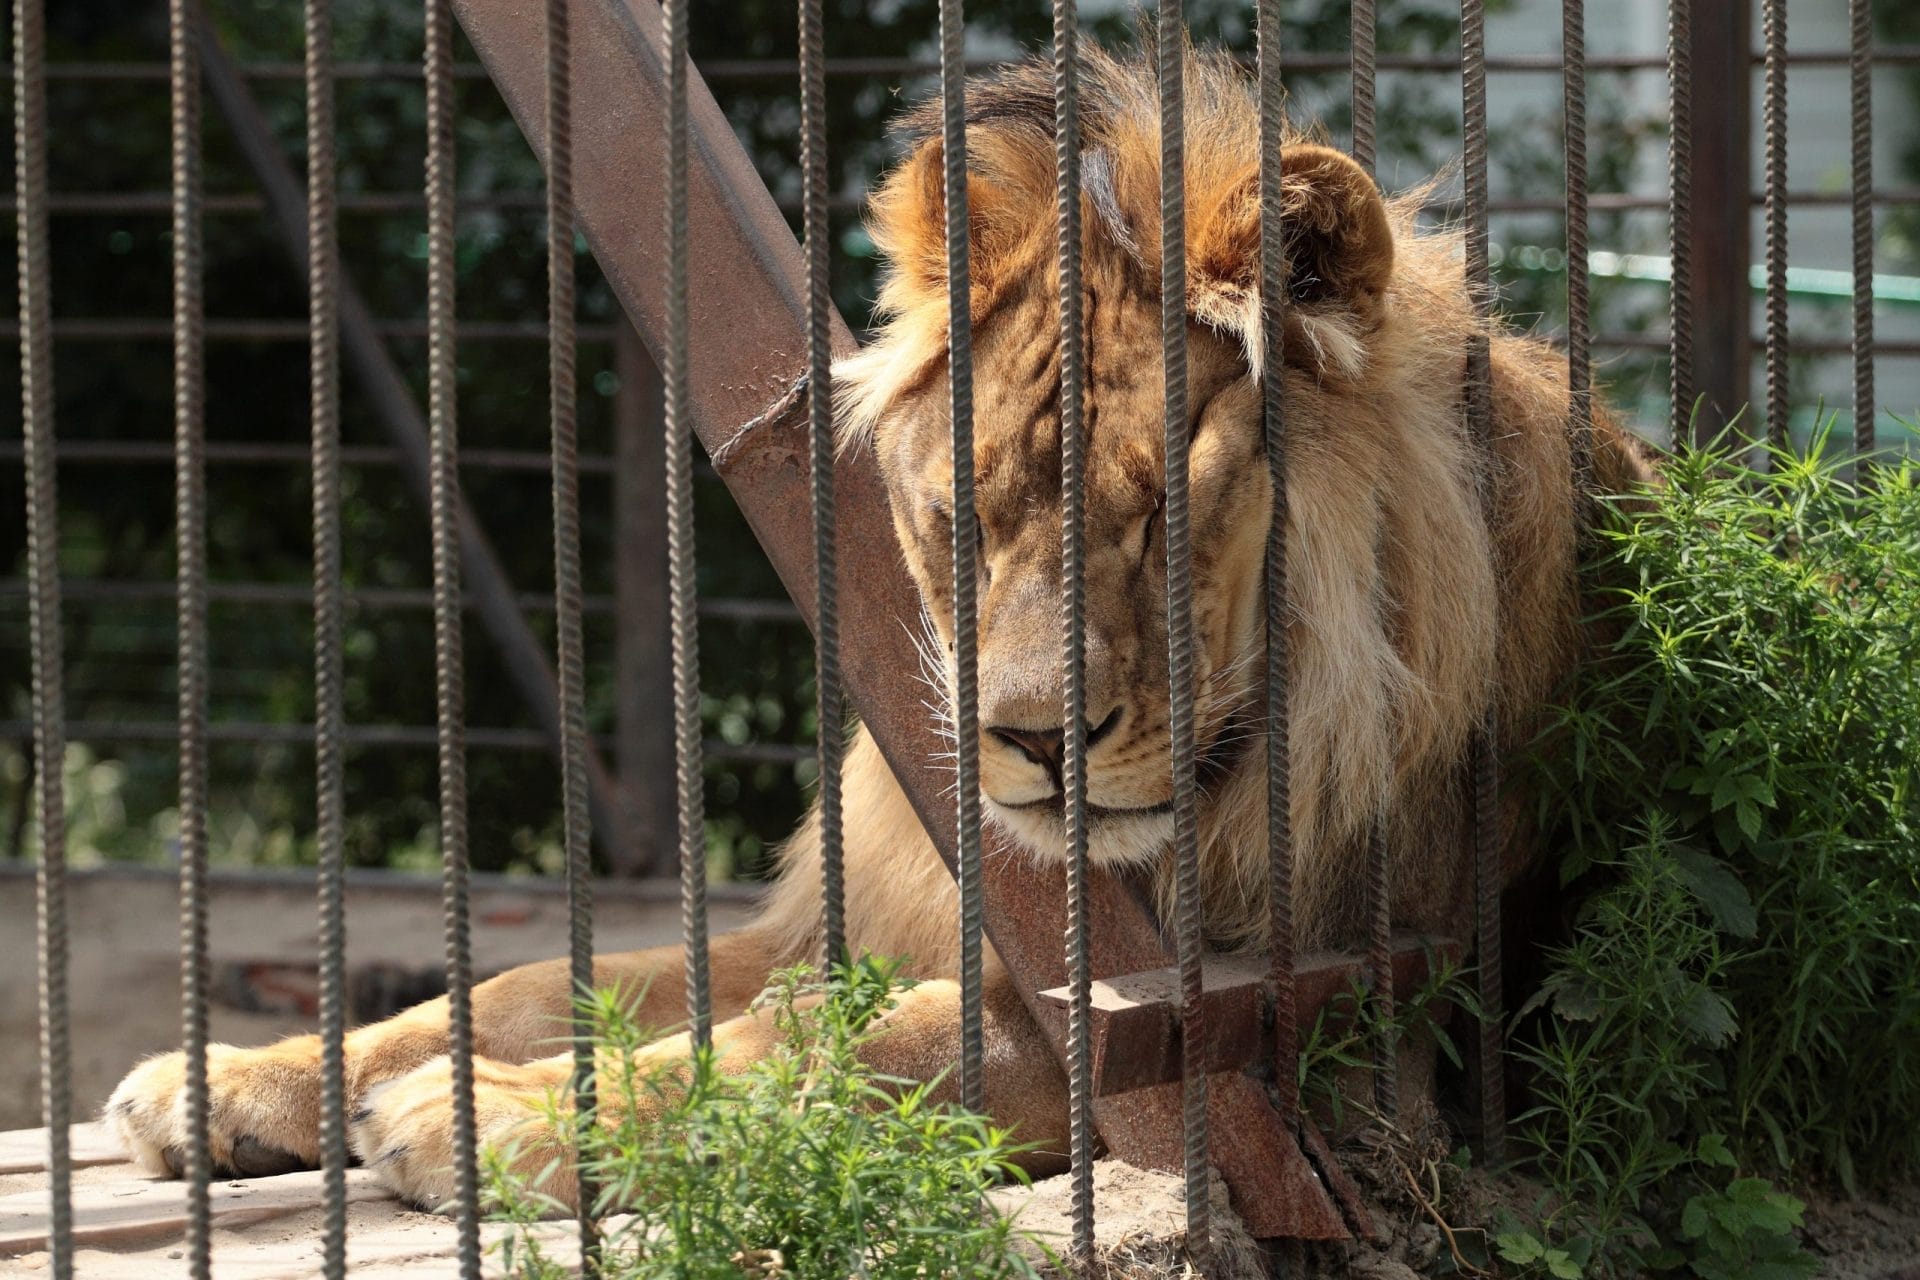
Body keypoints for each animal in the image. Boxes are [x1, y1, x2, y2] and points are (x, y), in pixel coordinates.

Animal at [105, 45, 1652, 1210]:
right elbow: (551, 978)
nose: (1034, 741)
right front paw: (240, 1075)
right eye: (965, 515)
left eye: (1168, 510)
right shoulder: (842, 920)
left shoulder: (1259, 1036)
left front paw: (492, 1119)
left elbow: (837, 1053)